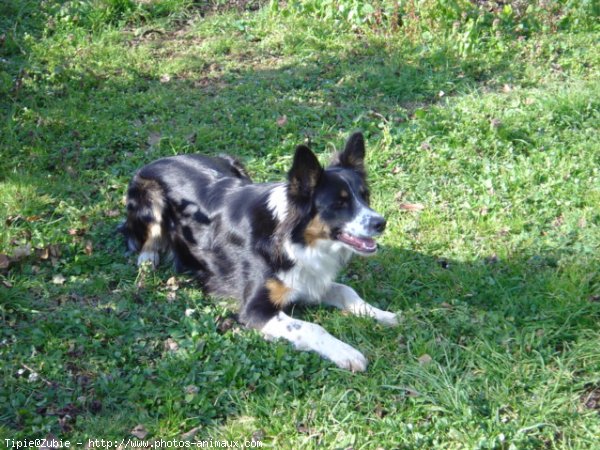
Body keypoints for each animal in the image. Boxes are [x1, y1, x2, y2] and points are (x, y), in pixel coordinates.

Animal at [119, 132, 396, 370]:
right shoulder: (254, 310)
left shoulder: (308, 279)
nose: (381, 223)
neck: (292, 239)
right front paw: (346, 352)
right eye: (339, 203)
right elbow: (311, 328)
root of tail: (163, 158)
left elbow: (347, 291)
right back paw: (148, 259)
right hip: (152, 197)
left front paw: (380, 314)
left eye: (364, 196)